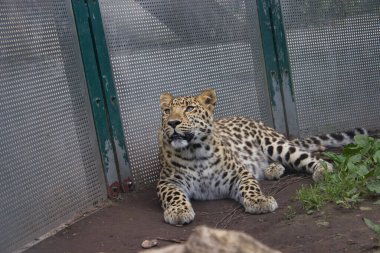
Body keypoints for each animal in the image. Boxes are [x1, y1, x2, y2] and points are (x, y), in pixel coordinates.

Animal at [157, 89, 366, 225]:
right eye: (167, 111)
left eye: (190, 109)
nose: (172, 122)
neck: (195, 152)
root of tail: (254, 119)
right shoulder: (167, 182)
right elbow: (174, 195)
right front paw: (178, 211)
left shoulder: (239, 173)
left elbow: (250, 186)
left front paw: (259, 201)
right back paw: (273, 169)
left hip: (276, 144)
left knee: (308, 157)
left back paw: (322, 170)